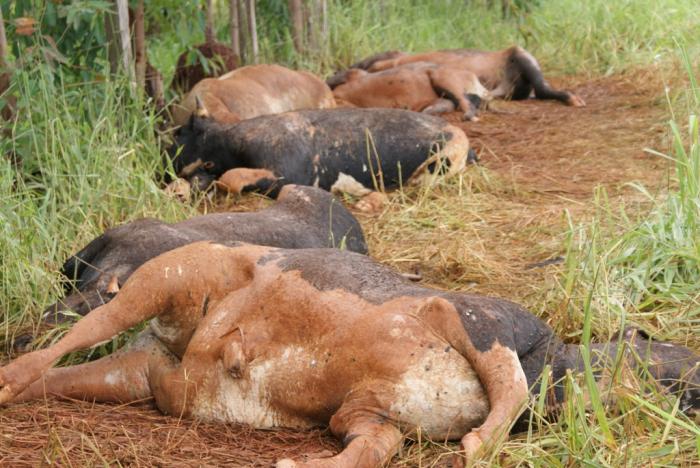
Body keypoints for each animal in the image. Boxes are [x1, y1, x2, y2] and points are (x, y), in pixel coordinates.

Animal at [0, 243, 696, 466]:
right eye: (673, 357)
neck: (557, 361)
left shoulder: (369, 414)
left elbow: (368, 448)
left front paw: (297, 464)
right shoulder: (476, 318)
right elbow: (509, 387)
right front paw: (479, 445)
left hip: (139, 374)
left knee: (79, 371)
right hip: (173, 273)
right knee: (80, 330)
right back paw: (10, 375)